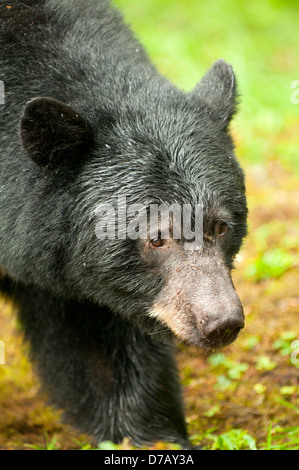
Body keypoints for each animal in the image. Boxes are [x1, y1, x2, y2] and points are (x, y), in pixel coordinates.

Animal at [0, 0, 248, 448]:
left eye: (221, 226)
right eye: (157, 239)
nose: (221, 323)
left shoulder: (67, 268)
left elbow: (101, 352)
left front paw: (152, 435)